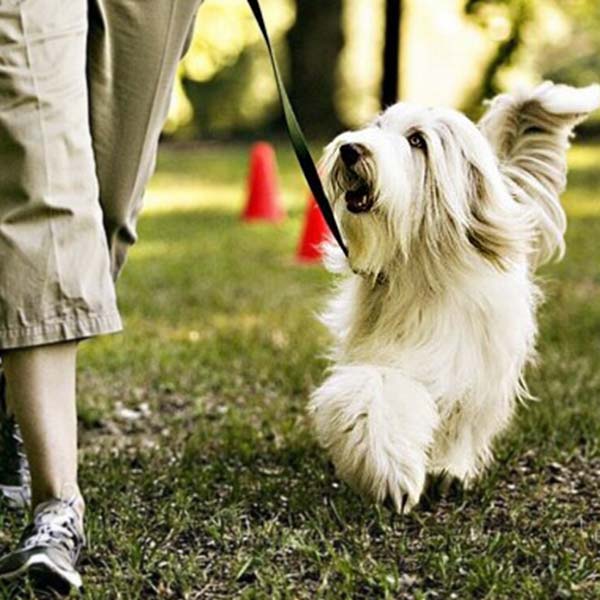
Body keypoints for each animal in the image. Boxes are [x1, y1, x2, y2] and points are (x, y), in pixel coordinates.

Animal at [310, 82, 600, 512]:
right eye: (378, 126)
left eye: (417, 140)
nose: (350, 149)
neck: (422, 268)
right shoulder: (386, 353)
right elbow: (376, 390)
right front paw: (393, 473)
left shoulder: (472, 359)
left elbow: (463, 414)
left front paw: (448, 469)